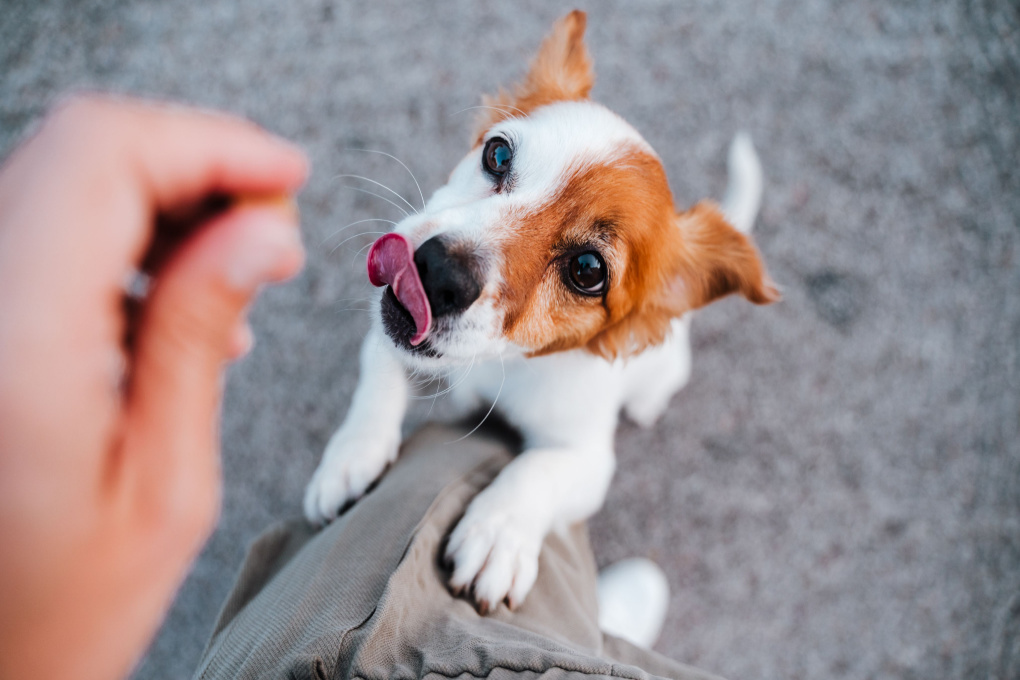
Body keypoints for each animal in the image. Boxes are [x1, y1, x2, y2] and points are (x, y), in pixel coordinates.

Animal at [303, 10, 779, 615]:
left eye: (587, 270)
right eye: (497, 154)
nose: (437, 272)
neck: (499, 363)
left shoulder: (589, 459)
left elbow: (538, 470)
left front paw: (497, 532)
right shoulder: (391, 339)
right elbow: (378, 377)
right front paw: (350, 458)